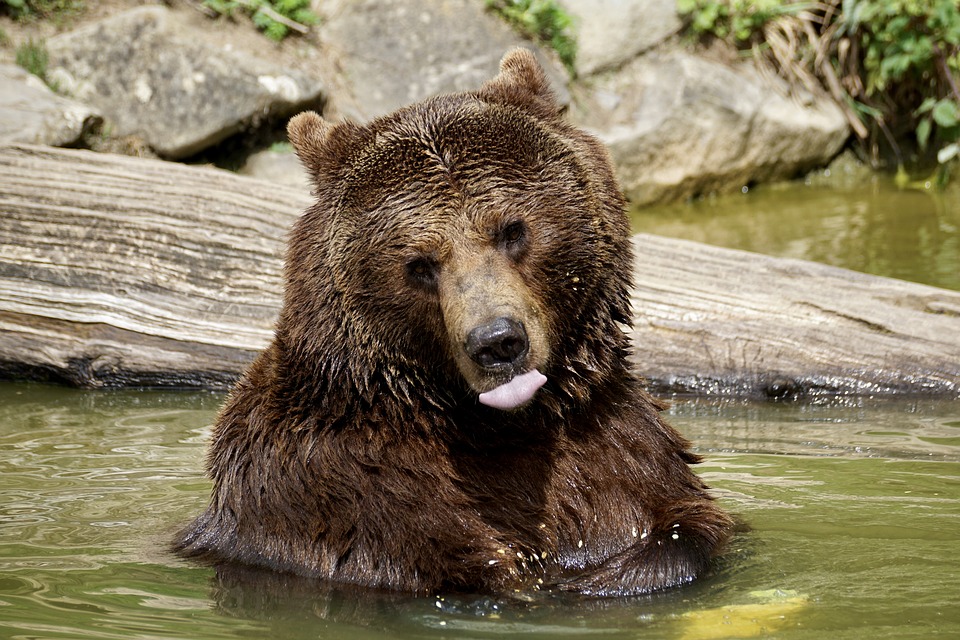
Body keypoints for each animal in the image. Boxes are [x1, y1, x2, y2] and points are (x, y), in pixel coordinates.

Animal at [174, 48, 728, 596]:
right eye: (420, 264)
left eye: (512, 229)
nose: (498, 343)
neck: (501, 426)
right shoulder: (344, 494)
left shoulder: (614, 450)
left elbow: (672, 522)